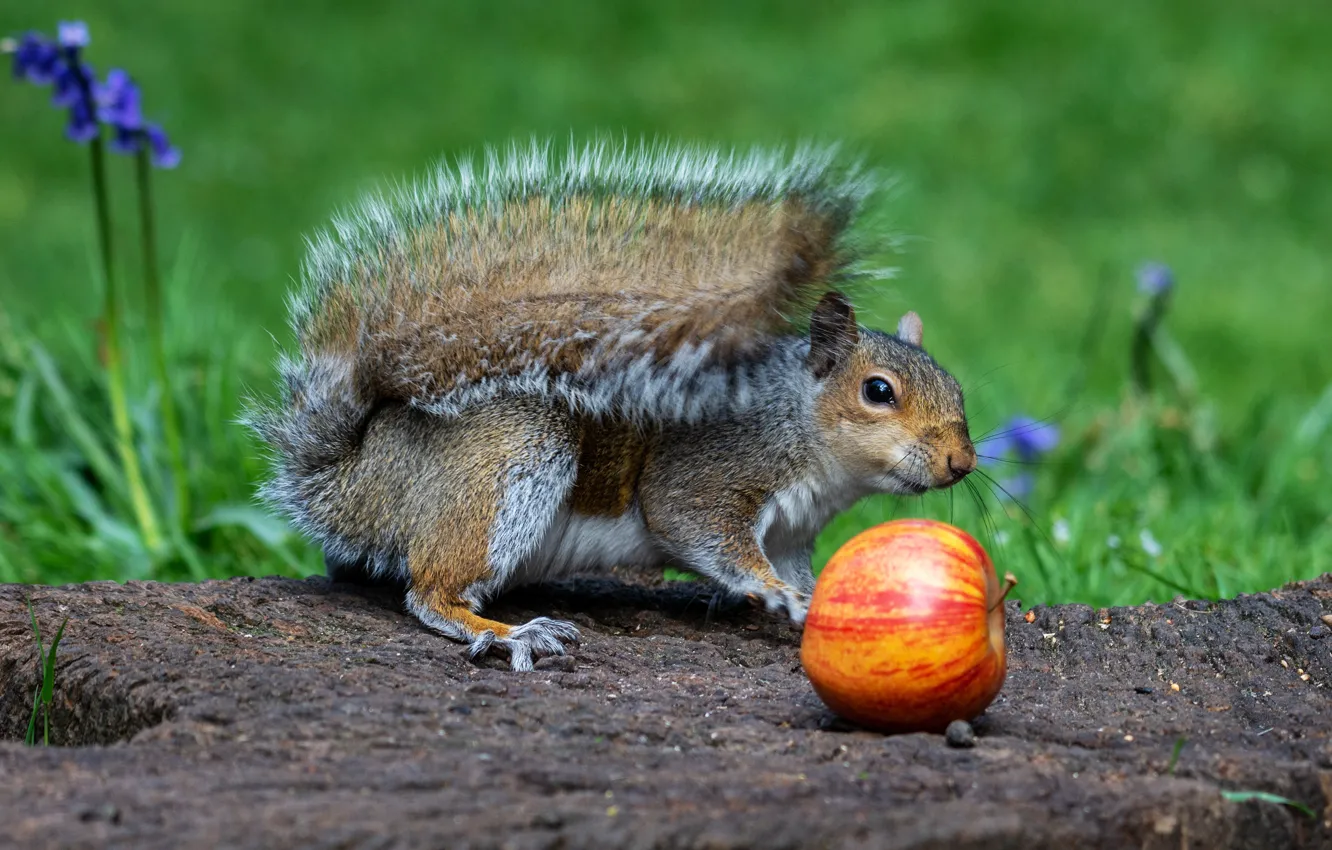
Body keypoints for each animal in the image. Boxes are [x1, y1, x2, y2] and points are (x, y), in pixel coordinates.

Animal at [248, 139, 976, 671]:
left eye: (958, 388)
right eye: (878, 391)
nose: (961, 462)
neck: (806, 436)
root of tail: (354, 475)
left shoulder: (795, 534)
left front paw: (810, 599)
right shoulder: (711, 469)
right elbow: (693, 523)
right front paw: (768, 591)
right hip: (510, 460)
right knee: (430, 591)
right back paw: (506, 632)